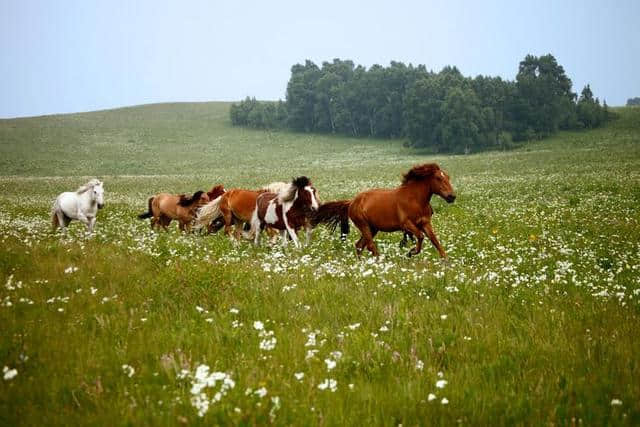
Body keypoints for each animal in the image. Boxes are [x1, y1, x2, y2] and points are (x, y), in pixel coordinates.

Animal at [314, 163, 456, 258]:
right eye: (438, 178)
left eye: (448, 177)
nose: (452, 196)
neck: (415, 199)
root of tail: (352, 202)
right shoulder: (406, 224)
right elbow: (420, 236)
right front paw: (411, 252)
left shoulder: (425, 223)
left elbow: (435, 241)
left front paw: (445, 261)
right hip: (364, 225)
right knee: (369, 246)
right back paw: (378, 261)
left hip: (373, 228)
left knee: (359, 245)